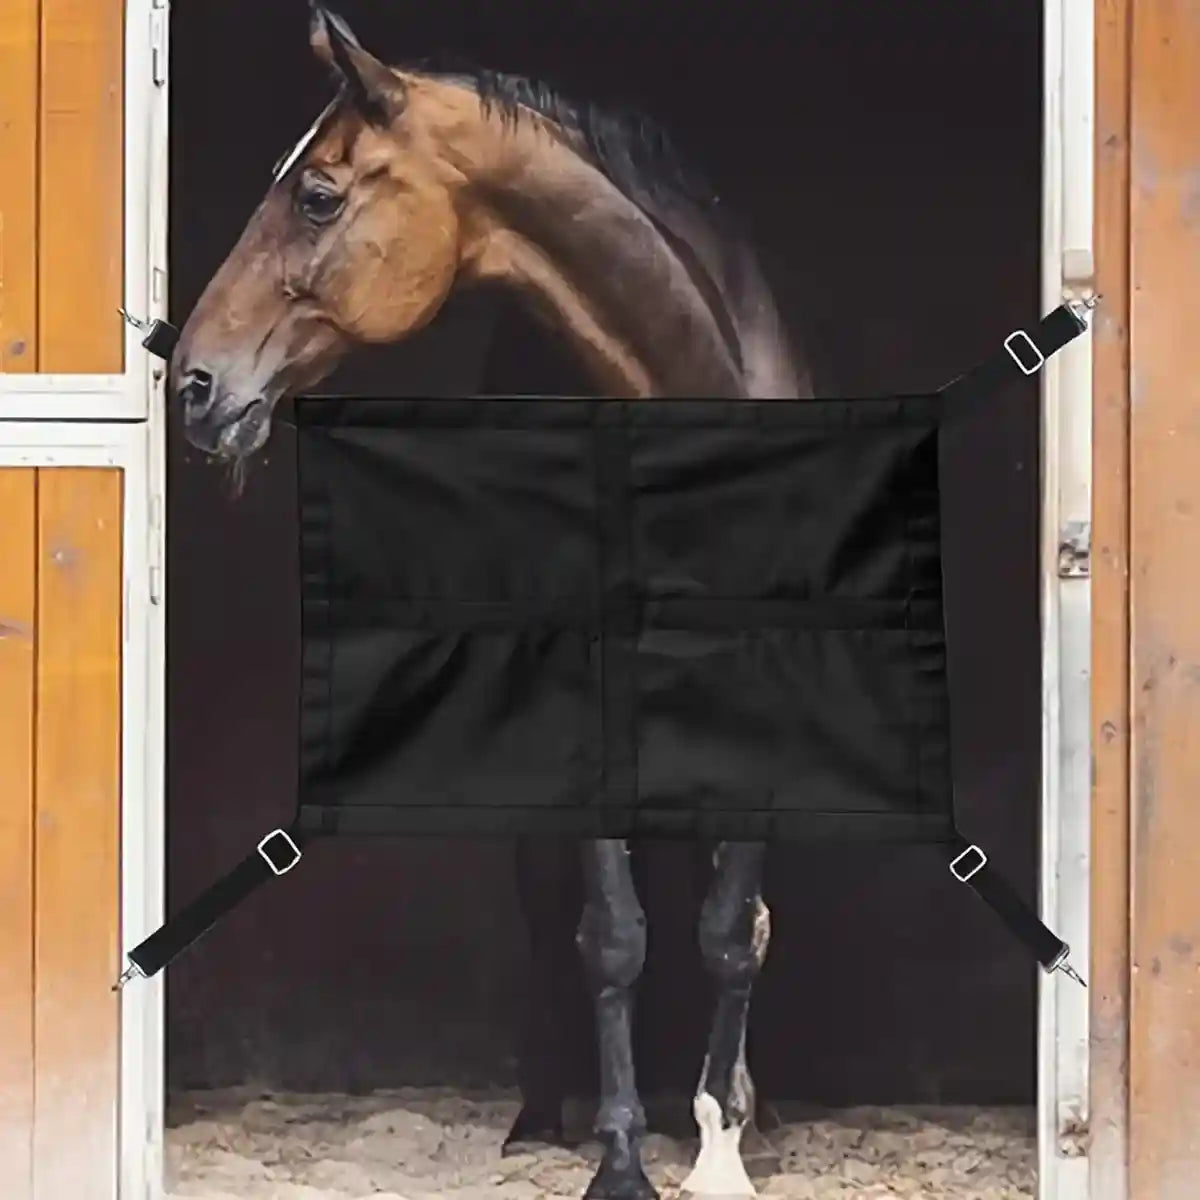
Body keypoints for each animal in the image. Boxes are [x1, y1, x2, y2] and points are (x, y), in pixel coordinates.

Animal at [170, 6, 814, 1198]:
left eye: (317, 194)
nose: (194, 384)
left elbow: (731, 922)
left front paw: (720, 1145)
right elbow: (613, 932)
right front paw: (619, 1155)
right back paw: (540, 1116)